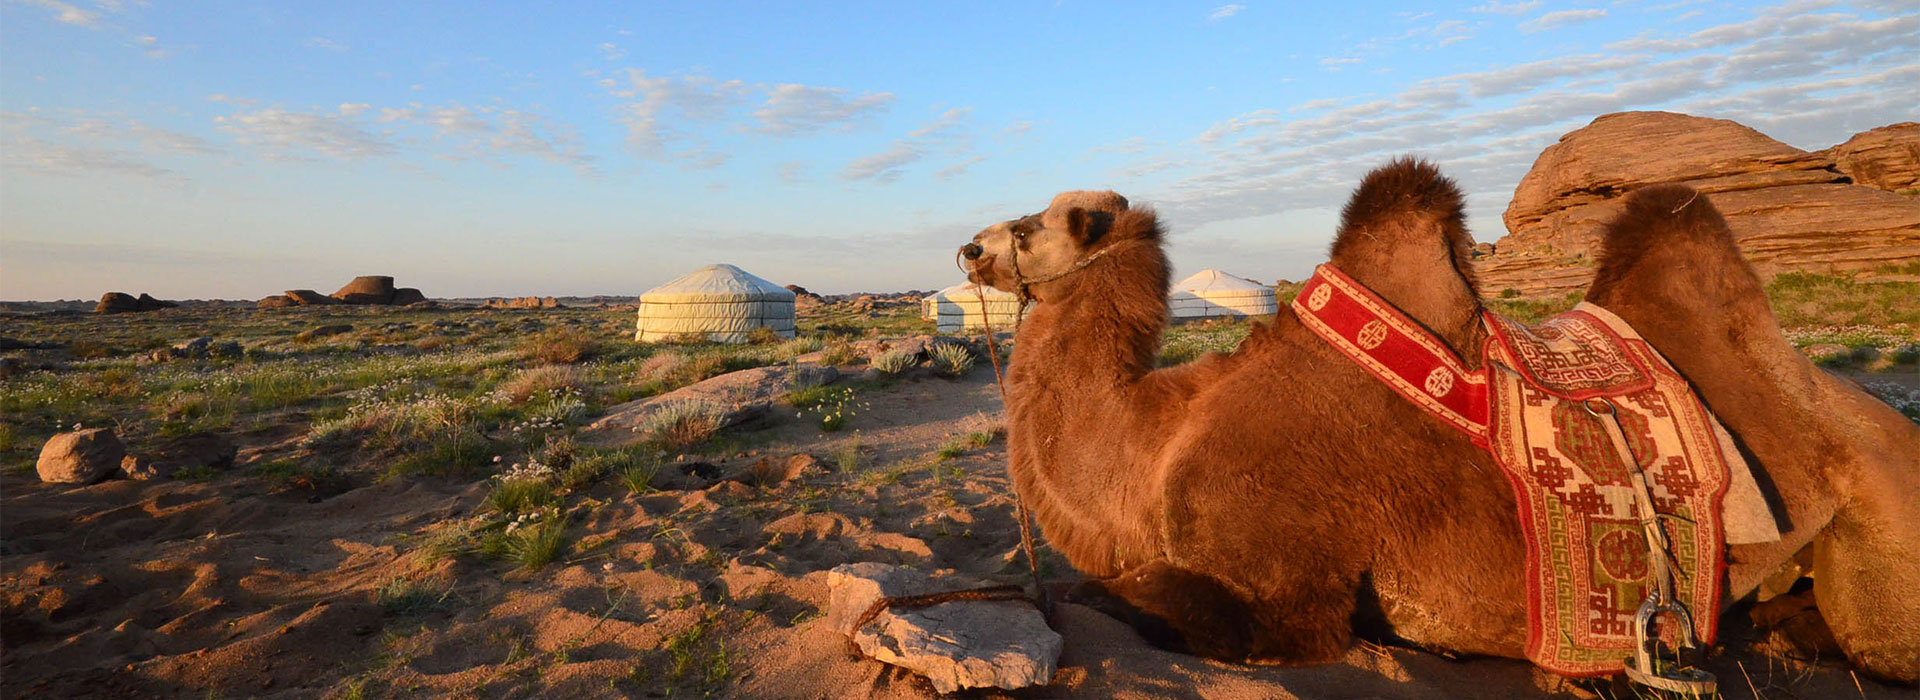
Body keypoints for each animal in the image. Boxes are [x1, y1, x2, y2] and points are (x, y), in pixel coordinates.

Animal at [956, 159, 1920, 682]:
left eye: (1031, 224)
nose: (968, 248)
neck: (1159, 441)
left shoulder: (1282, 590)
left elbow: (1115, 595)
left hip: (1881, 528)